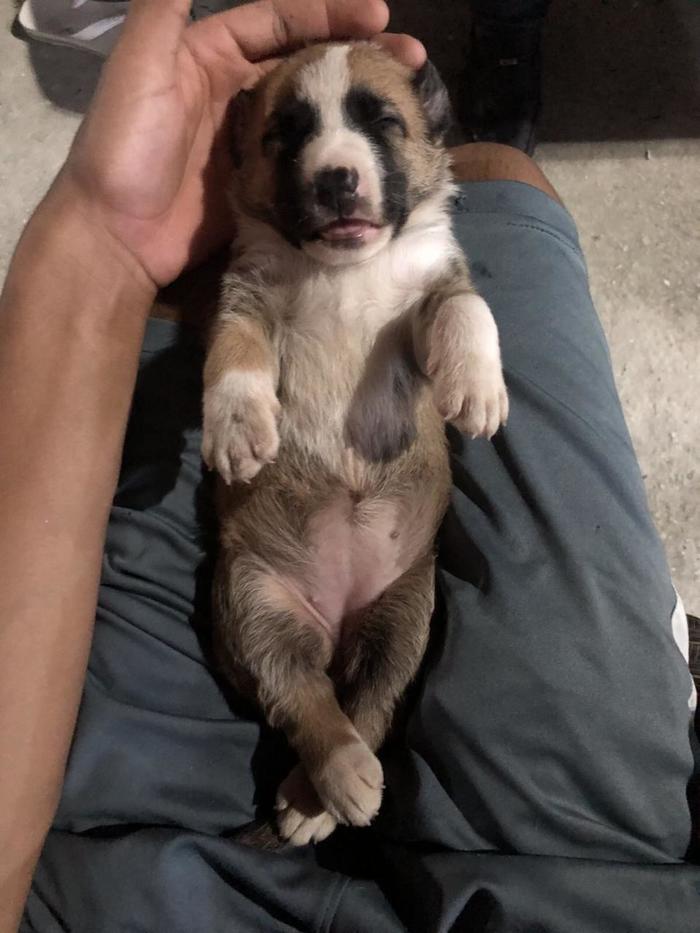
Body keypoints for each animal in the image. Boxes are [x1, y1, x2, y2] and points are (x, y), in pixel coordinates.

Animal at [201, 41, 508, 846]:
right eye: (286, 135)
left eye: (384, 123)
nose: (336, 178)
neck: (345, 266)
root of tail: (338, 626)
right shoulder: (245, 296)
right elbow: (232, 357)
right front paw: (237, 427)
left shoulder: (434, 284)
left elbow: (468, 307)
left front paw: (477, 386)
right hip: (255, 606)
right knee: (303, 697)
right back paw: (333, 785)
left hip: (405, 612)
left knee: (372, 700)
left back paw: (320, 798)